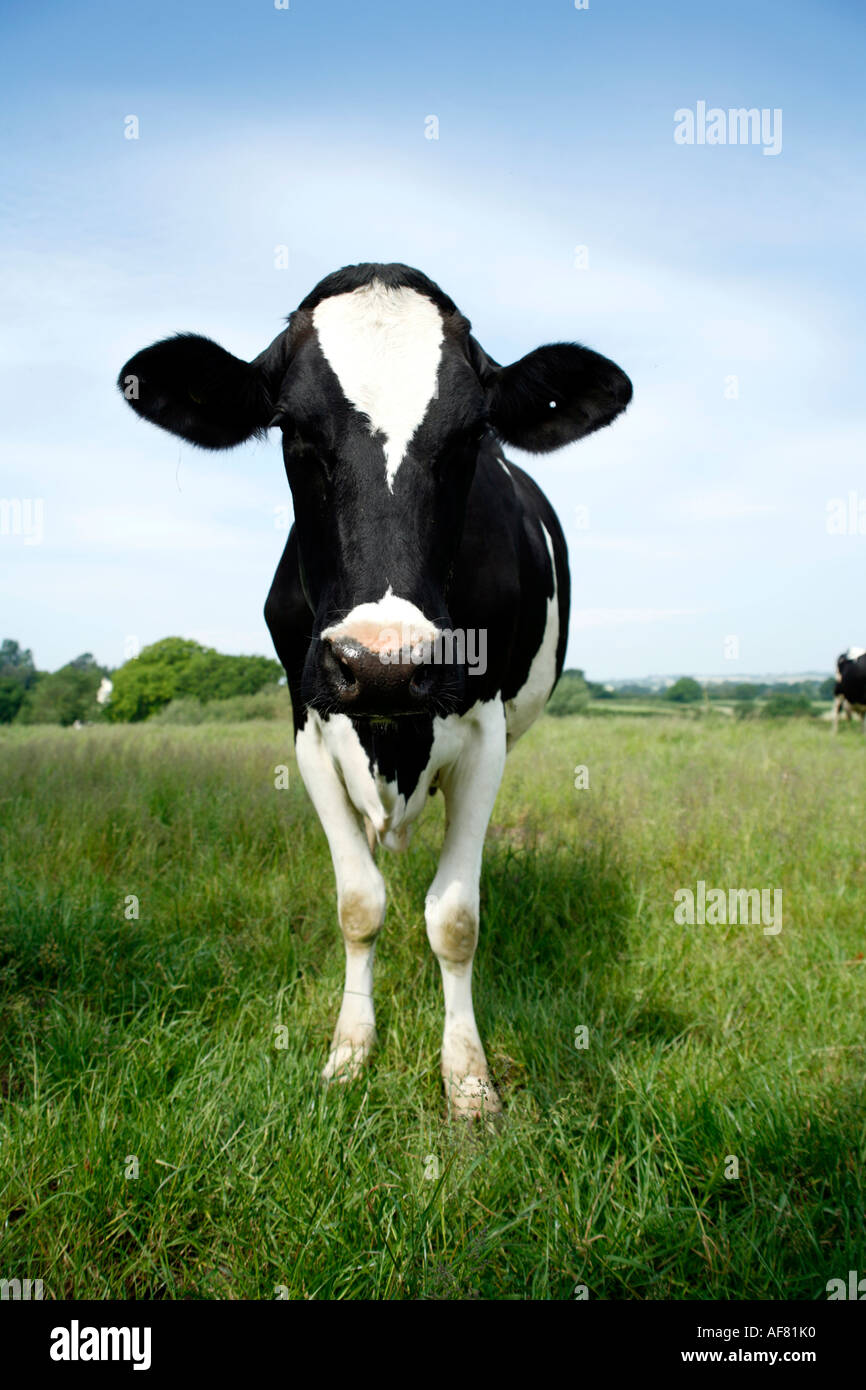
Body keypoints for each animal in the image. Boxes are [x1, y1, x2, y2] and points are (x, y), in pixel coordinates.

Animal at [118, 262, 633, 1117]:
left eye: (472, 434)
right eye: (292, 429)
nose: (386, 663)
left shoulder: (486, 731)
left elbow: (454, 917)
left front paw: (468, 1079)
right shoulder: (309, 720)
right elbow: (359, 904)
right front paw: (350, 1050)